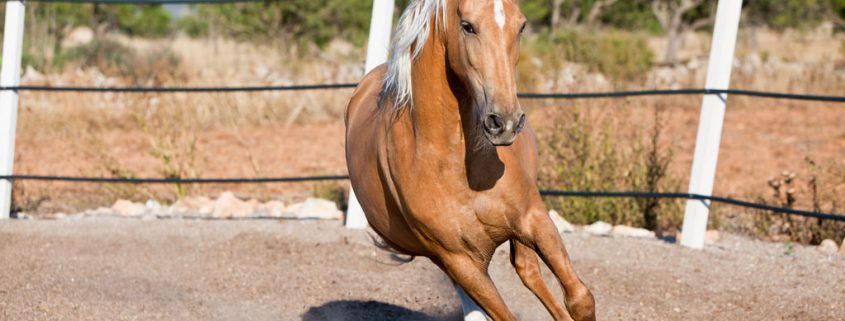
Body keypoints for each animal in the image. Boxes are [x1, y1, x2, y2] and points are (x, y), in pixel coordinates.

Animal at [342, 0, 592, 318]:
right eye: (467, 26)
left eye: (521, 26)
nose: (505, 122)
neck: (457, 165)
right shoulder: (460, 261)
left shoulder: (533, 218)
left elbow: (579, 299)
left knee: (528, 270)